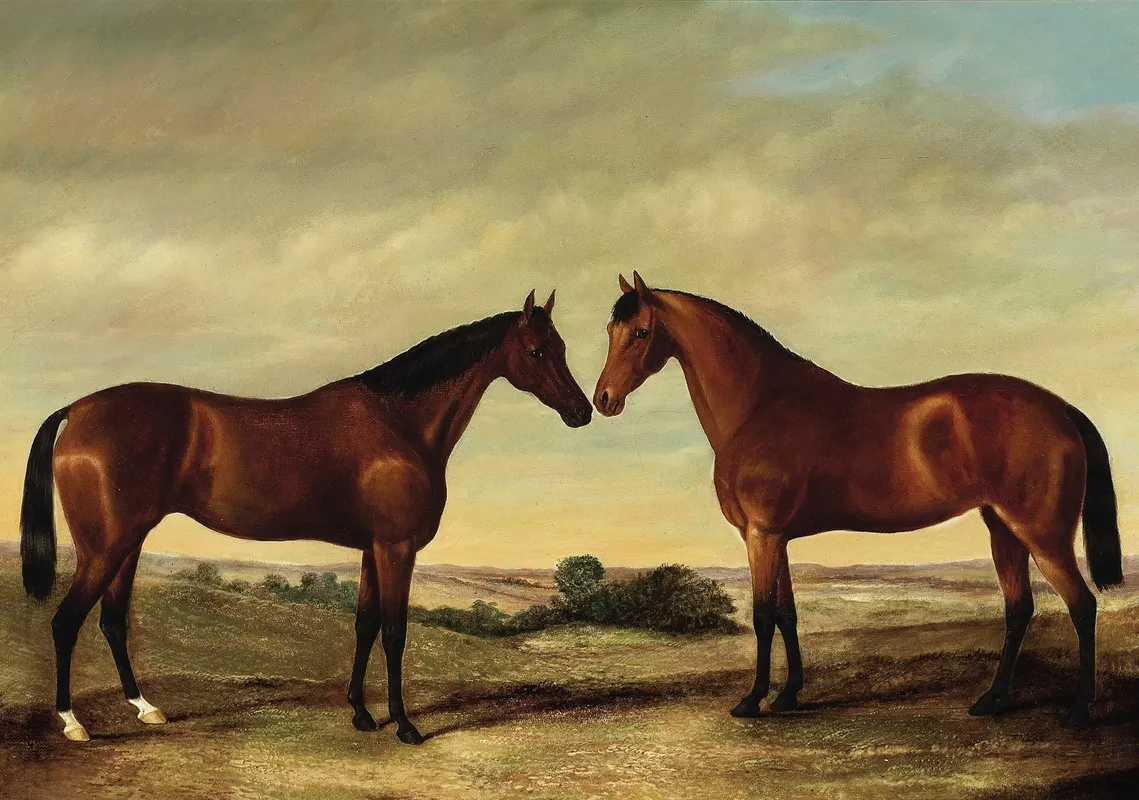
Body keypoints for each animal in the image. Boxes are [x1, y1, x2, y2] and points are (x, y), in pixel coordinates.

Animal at [20, 290, 592, 743]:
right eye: (537, 350)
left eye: (563, 347)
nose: (583, 411)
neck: (398, 423)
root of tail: (77, 410)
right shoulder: (396, 547)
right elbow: (394, 631)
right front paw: (405, 725)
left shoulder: (371, 549)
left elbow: (364, 624)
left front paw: (362, 713)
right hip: (104, 548)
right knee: (66, 622)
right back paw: (73, 723)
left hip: (128, 543)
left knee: (113, 622)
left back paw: (146, 710)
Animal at [592, 272, 1122, 729]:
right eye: (610, 329)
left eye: (641, 332)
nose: (604, 399)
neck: (761, 405)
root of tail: (1059, 408)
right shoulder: (777, 537)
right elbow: (786, 613)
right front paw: (788, 695)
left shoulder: (761, 534)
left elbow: (762, 616)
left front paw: (752, 700)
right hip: (1002, 529)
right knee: (1019, 610)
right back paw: (991, 701)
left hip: (1043, 535)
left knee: (1081, 606)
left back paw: (1078, 711)